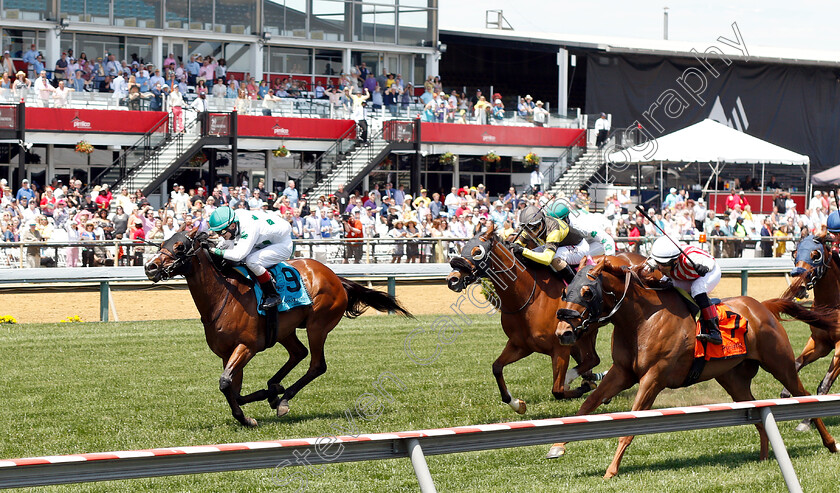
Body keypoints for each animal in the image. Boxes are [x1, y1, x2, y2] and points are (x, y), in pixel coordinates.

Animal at [146, 229, 412, 424]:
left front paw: (247, 418)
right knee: (298, 353)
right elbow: (233, 388)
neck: (223, 296)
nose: (150, 267)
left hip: (318, 326)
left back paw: (283, 399)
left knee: (317, 365)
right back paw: (274, 389)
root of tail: (336, 277)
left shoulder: (247, 346)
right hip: (285, 330)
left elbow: (225, 383)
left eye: (180, 246)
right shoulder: (226, 353)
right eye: (161, 244)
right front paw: (260, 402)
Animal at [446, 222, 612, 412]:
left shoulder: (560, 349)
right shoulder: (520, 345)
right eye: (463, 248)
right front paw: (518, 404)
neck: (528, 298)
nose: (452, 279)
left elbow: (558, 390)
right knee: (592, 359)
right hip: (584, 335)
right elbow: (497, 368)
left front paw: (580, 387)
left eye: (477, 251)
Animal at [552, 254, 832, 476]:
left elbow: (630, 425)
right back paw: (764, 456)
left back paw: (830, 443)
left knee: (804, 394)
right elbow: (588, 404)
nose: (563, 332)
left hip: (780, 365)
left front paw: (611, 470)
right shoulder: (622, 372)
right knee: (757, 411)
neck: (643, 319)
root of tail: (762, 306)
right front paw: (557, 446)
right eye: (565, 292)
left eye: (588, 292)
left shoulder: (653, 378)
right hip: (734, 380)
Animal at [776, 233, 840, 428]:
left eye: (816, 255)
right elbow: (797, 363)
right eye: (795, 253)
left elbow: (824, 384)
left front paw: (808, 420)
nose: (799, 284)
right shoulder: (820, 344)